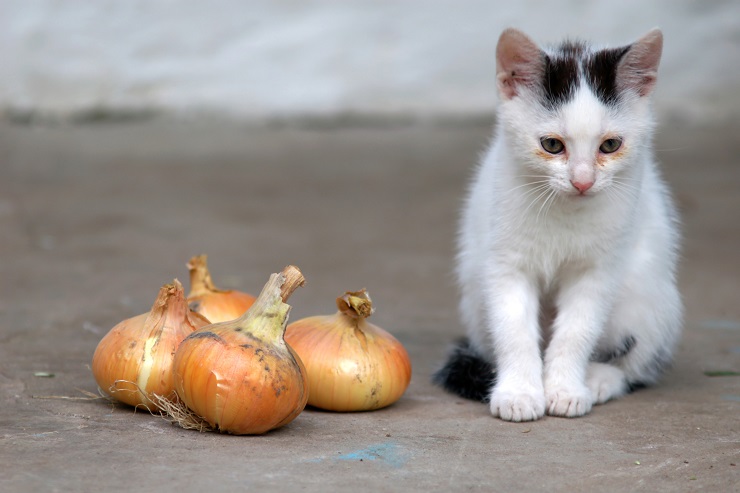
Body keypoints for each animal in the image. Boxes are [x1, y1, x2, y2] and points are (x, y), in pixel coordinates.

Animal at [434, 27, 684, 418]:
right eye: (552, 145)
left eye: (610, 145)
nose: (583, 181)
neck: (565, 211)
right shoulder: (505, 262)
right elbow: (513, 328)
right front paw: (519, 393)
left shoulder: (598, 270)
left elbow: (577, 330)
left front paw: (566, 389)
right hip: (474, 294)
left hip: (646, 296)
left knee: (638, 361)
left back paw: (599, 379)